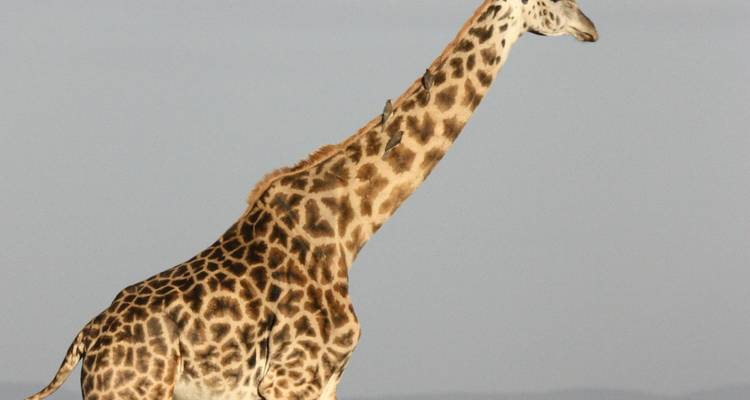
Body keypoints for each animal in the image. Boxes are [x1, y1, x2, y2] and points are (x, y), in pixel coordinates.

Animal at [24, 1, 597, 399]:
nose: (590, 26)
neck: (350, 228)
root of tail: (86, 340)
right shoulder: (291, 378)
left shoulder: (324, 381)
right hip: (131, 390)